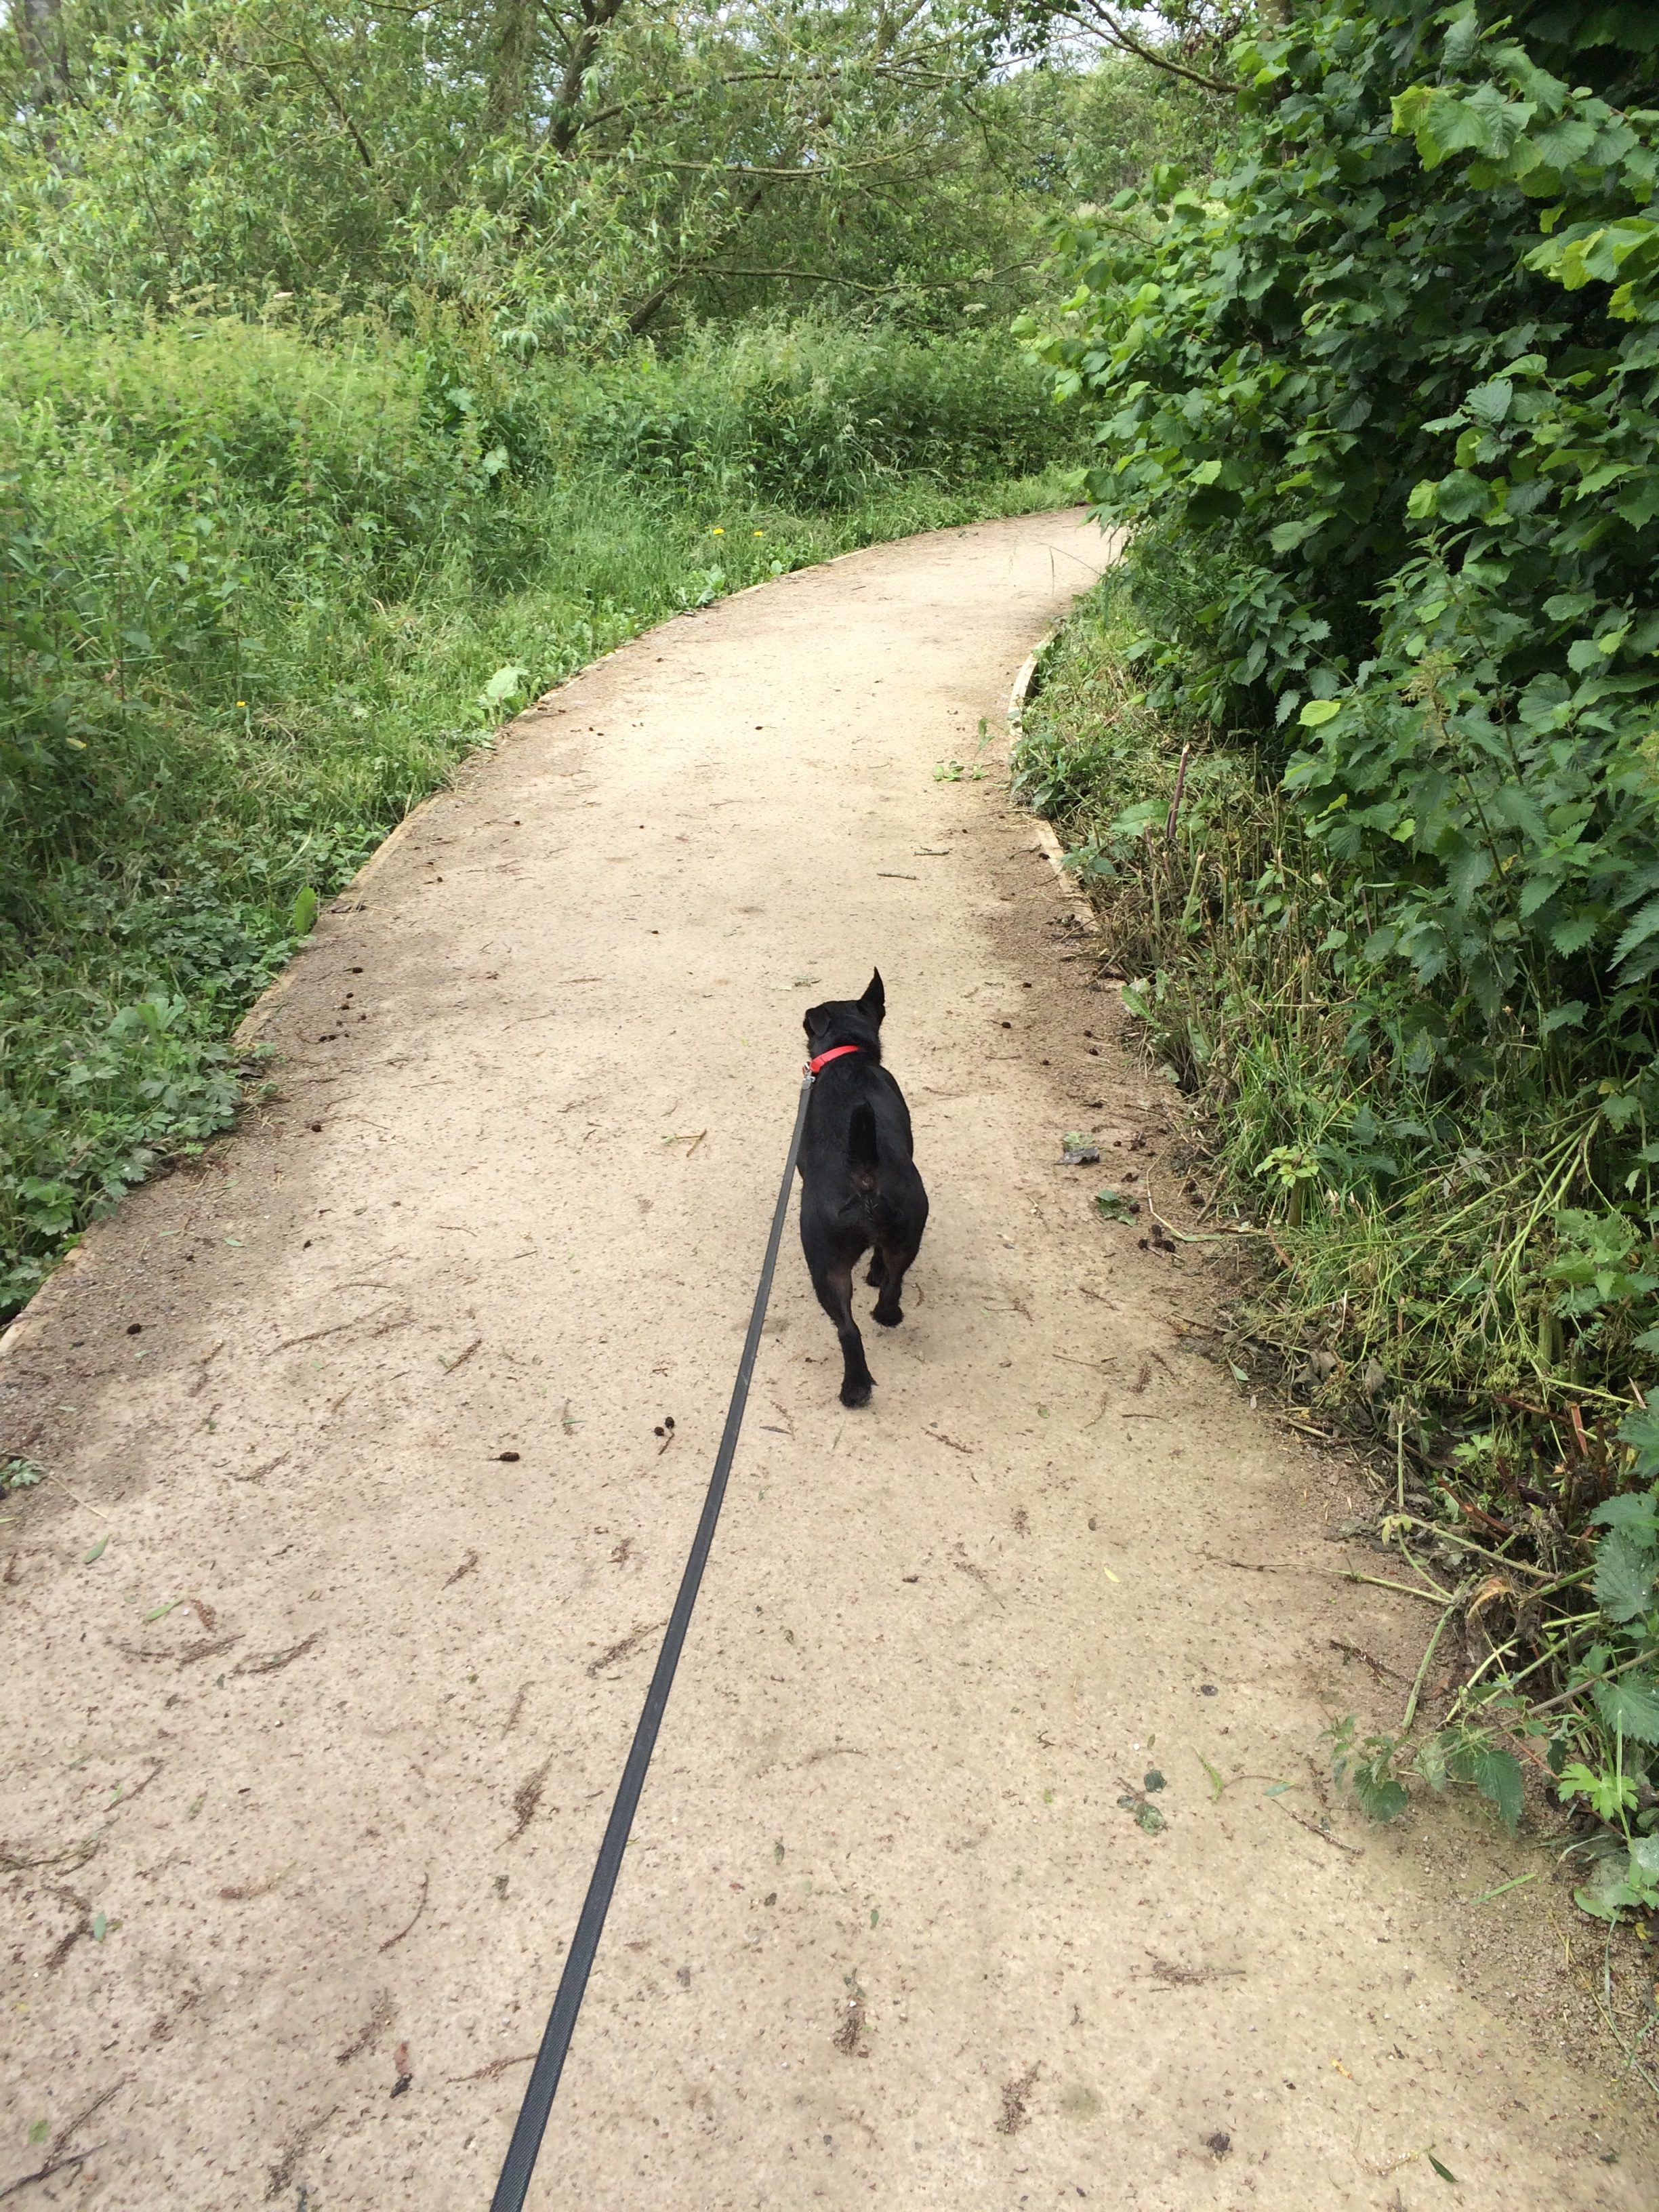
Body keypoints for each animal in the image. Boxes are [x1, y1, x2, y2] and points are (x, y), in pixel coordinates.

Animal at [800, 968, 928, 1397]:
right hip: (899, 1240)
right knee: (884, 1292)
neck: (849, 1054)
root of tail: (865, 1171)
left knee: (851, 1323)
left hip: (825, 1263)